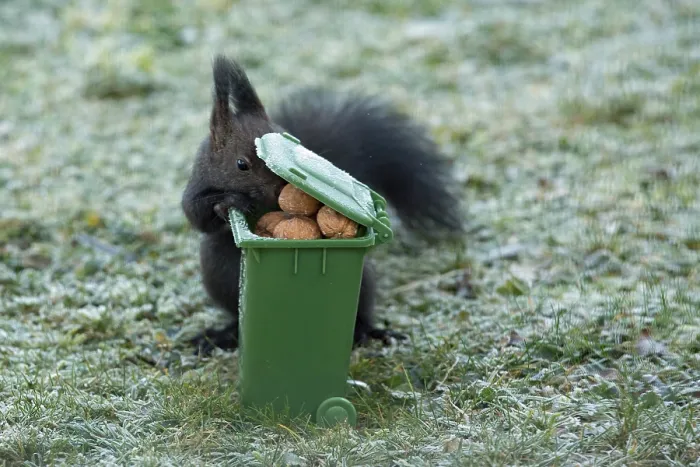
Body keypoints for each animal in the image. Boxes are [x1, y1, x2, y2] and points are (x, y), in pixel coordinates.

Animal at [181, 55, 464, 355]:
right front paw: (227, 204)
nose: (280, 188)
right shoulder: (197, 183)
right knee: (235, 316)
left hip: (363, 282)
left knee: (361, 314)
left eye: (287, 137)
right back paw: (222, 335)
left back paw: (371, 332)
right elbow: (195, 214)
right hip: (217, 276)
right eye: (241, 164)